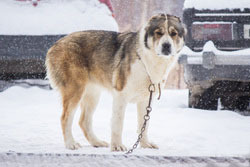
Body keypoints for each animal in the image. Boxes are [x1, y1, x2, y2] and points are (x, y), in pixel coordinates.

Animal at [45, 13, 186, 151]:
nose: (166, 45)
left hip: (92, 94)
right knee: (65, 118)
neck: (148, 60)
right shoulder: (121, 95)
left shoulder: (146, 99)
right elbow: (118, 123)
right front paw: (117, 146)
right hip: (75, 90)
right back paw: (70, 143)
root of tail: (55, 44)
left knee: (84, 121)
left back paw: (96, 142)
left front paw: (145, 144)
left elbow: (144, 124)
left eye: (174, 33)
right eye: (159, 33)